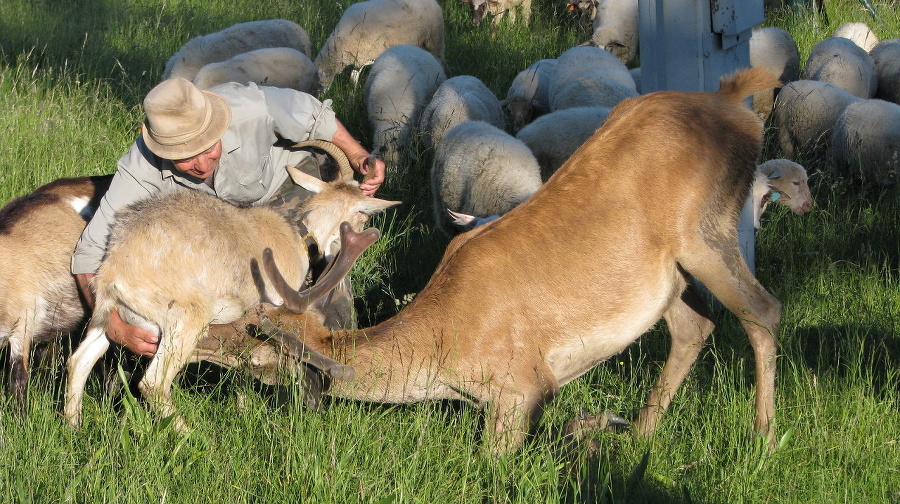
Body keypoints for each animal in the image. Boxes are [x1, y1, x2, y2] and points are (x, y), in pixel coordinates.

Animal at [227, 67, 788, 452]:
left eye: (254, 336)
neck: (443, 346)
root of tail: (736, 100)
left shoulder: (522, 388)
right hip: (670, 279)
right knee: (696, 327)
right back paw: (638, 433)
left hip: (708, 234)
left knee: (764, 310)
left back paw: (763, 438)